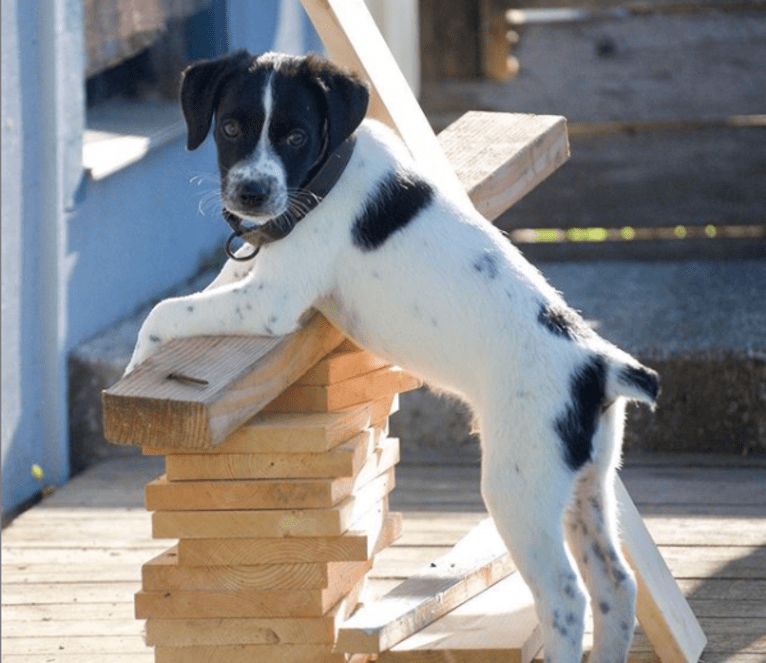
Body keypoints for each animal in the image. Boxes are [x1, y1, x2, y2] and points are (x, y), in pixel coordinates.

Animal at [126, 50, 660, 663]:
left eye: (296, 136)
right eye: (231, 128)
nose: (250, 194)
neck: (329, 175)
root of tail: (597, 367)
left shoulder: (270, 302)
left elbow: (164, 312)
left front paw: (134, 366)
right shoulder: (251, 278)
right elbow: (207, 286)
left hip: (521, 488)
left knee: (566, 595)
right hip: (587, 485)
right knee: (616, 585)